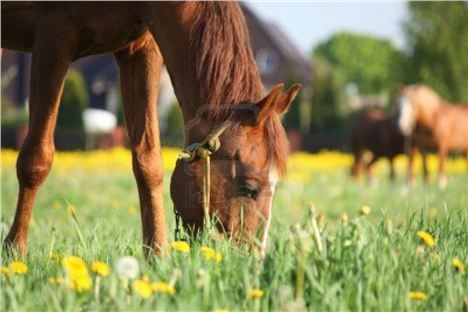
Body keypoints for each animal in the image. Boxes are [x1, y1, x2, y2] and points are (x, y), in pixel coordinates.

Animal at [0, 2, 300, 255]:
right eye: (248, 188)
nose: (251, 259)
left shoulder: (141, 48)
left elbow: (148, 162)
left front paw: (157, 254)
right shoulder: (54, 35)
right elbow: (36, 159)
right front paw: (15, 251)